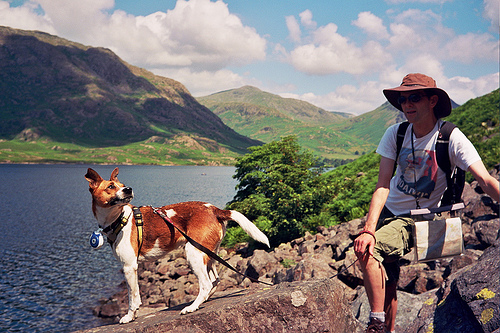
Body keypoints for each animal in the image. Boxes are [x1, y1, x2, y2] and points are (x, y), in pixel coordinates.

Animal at [85, 167, 270, 322]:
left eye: (122, 186)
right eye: (111, 186)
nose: (128, 189)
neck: (119, 218)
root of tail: (215, 209)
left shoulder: (129, 267)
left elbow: (133, 297)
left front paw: (129, 317)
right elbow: (135, 295)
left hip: (193, 252)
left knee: (206, 284)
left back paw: (192, 307)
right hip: (207, 253)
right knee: (215, 281)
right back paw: (203, 301)